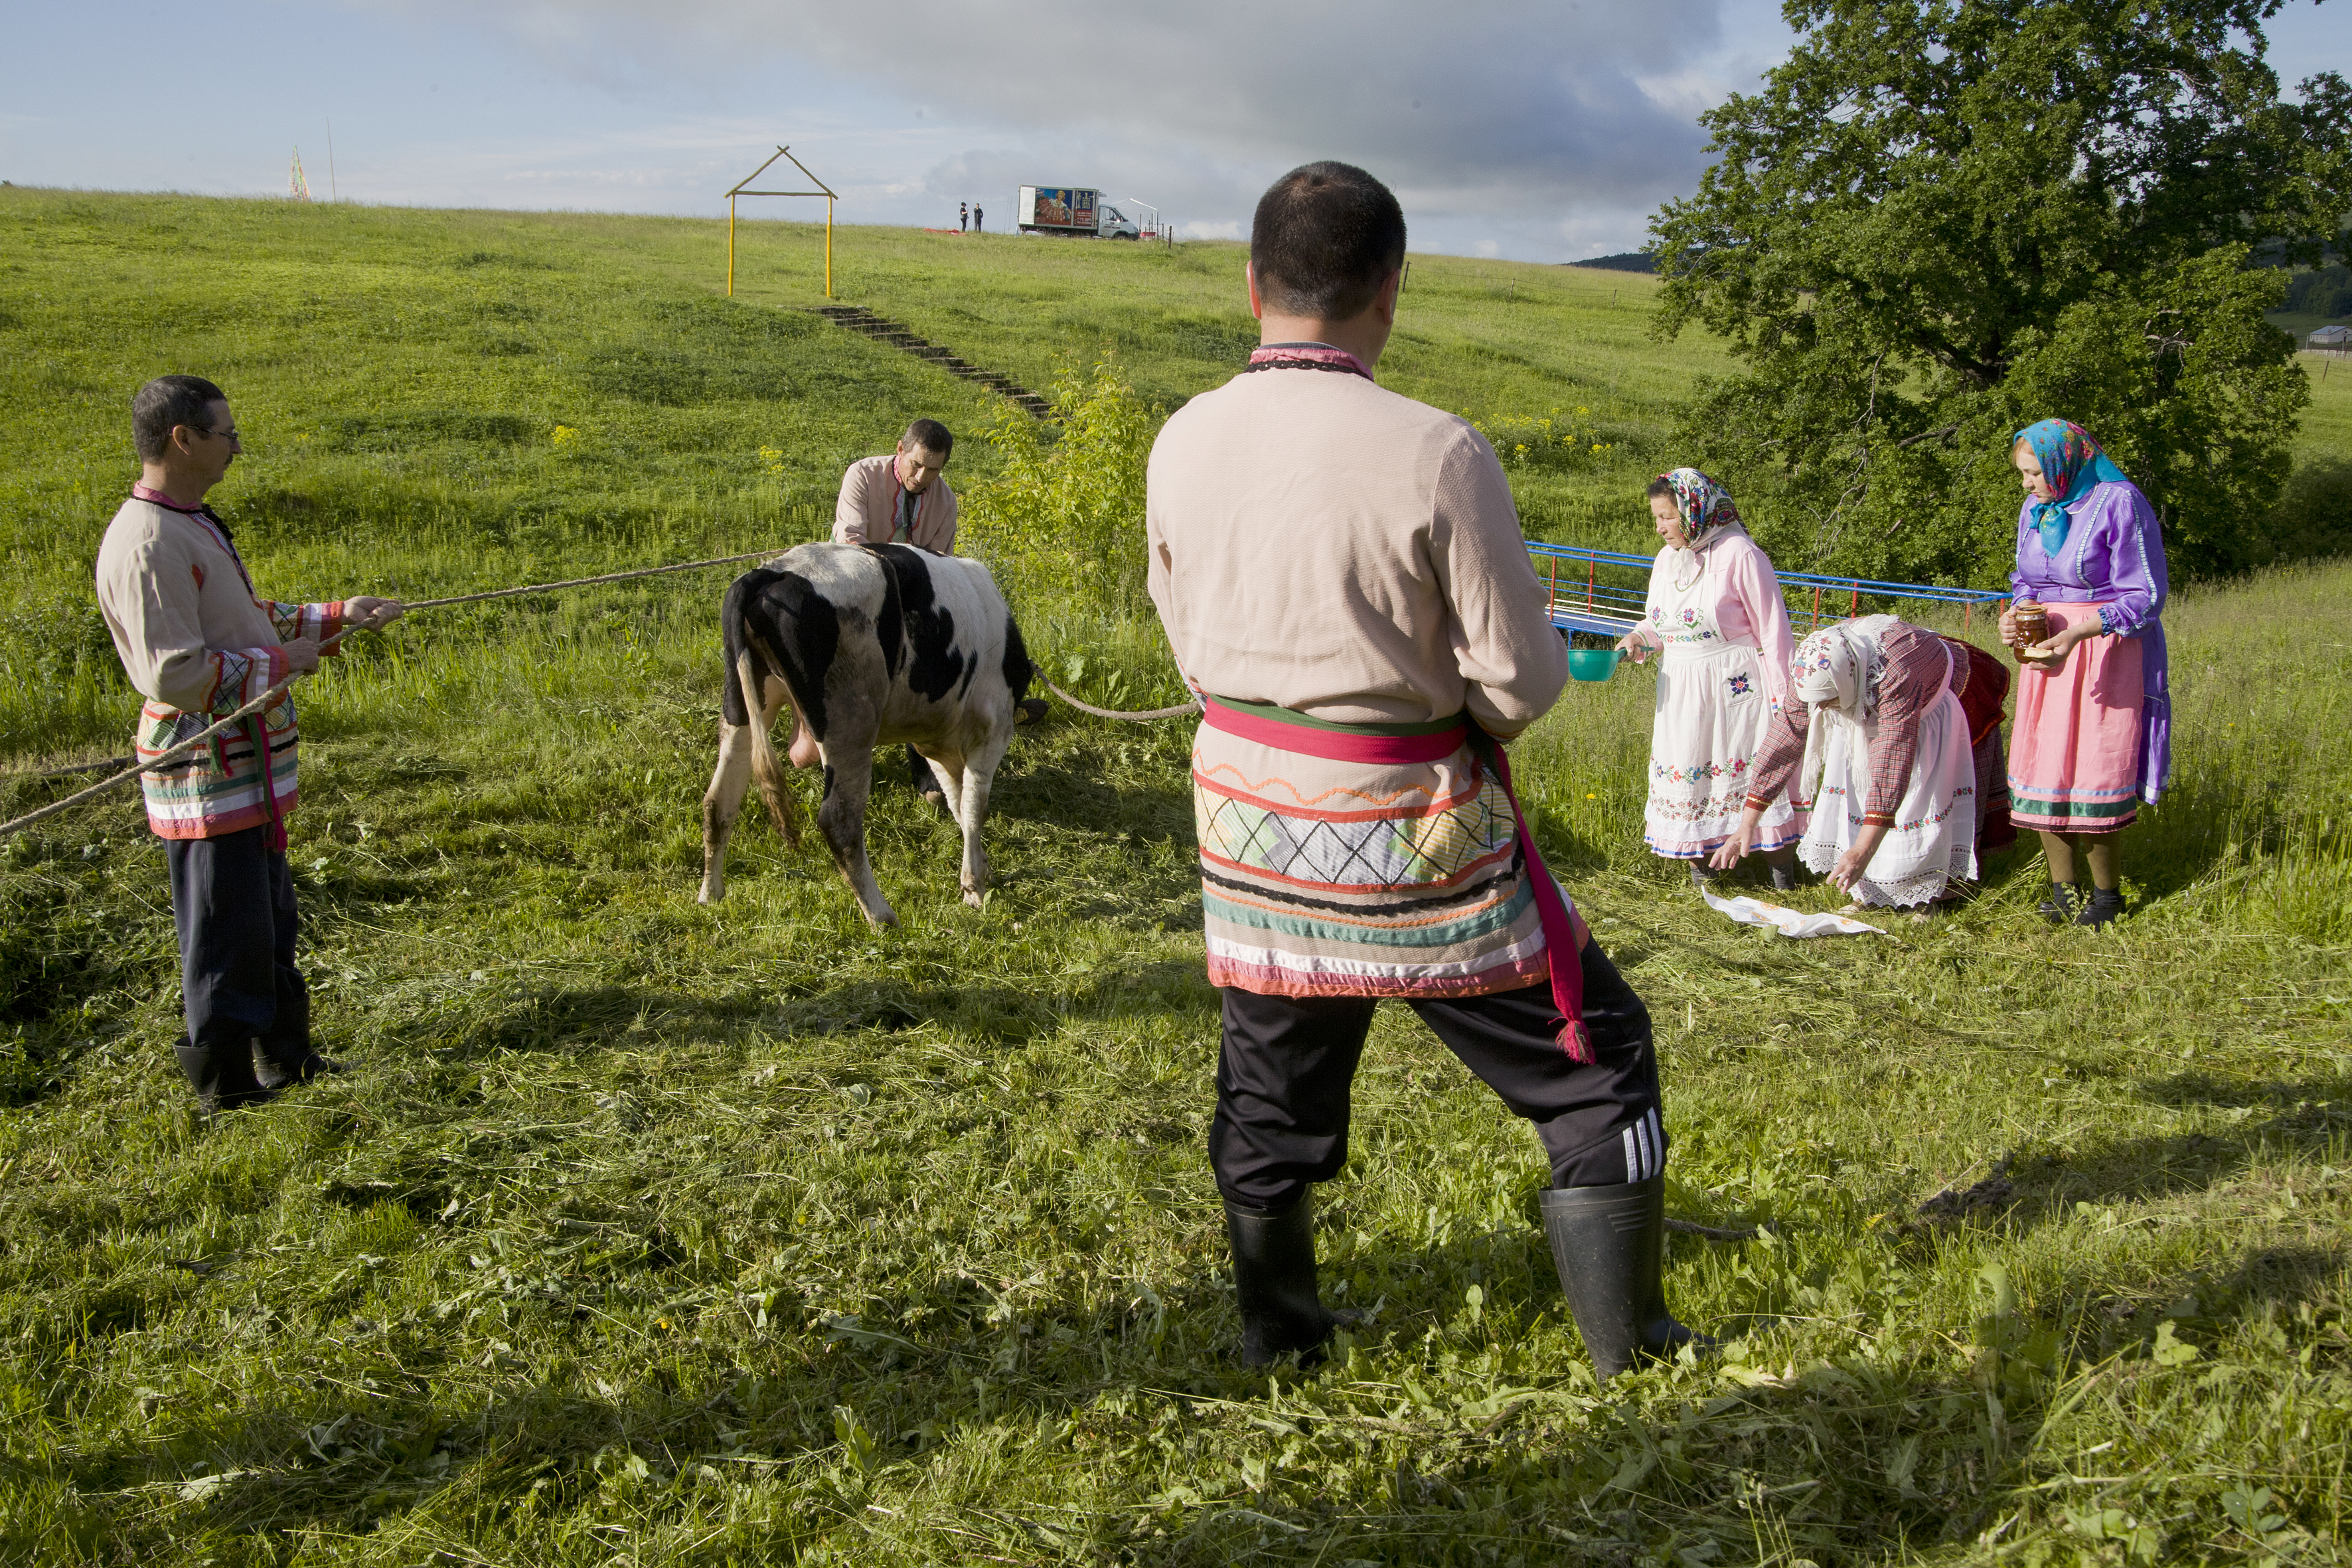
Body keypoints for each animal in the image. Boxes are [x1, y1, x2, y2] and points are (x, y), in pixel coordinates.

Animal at [691, 543, 1034, 926]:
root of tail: (773, 571)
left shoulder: (939, 744)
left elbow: (958, 803)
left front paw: (980, 866)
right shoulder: (992, 730)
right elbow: (974, 808)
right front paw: (974, 888)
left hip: (744, 707)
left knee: (719, 801)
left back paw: (711, 894)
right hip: (850, 724)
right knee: (839, 821)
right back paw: (882, 916)